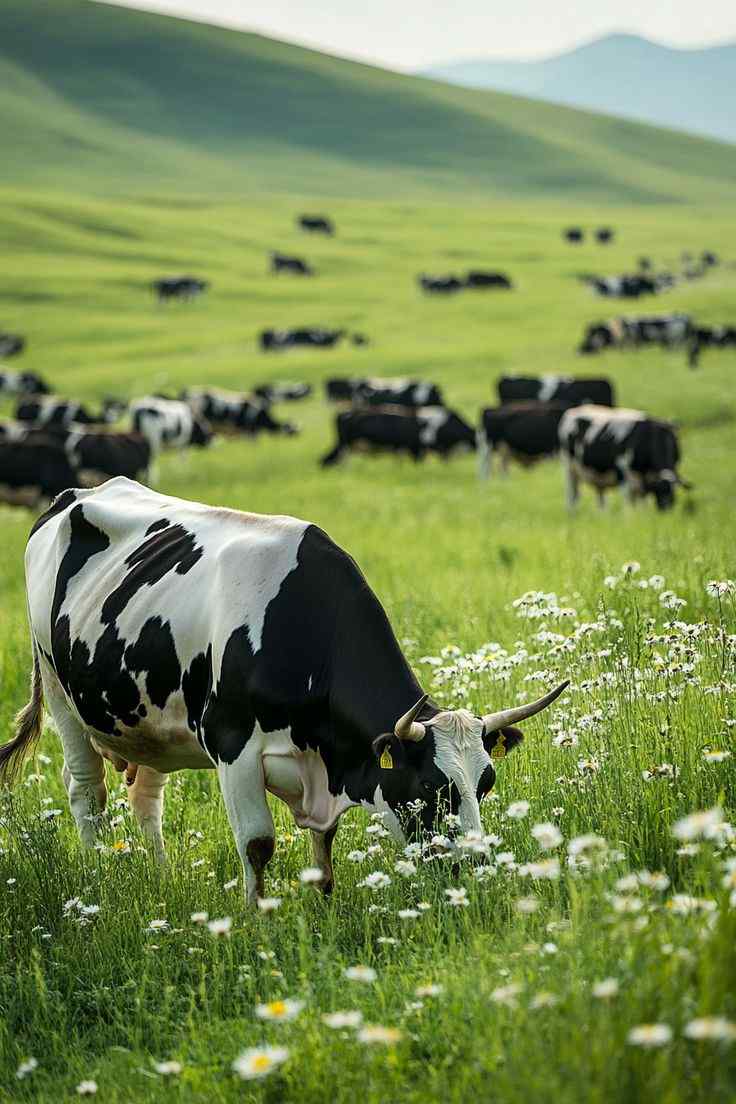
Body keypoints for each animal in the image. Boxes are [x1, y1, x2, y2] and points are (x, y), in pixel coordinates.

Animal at [0, 476, 568, 902]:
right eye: (431, 786)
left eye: (485, 783)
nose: (477, 866)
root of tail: (74, 494)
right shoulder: (231, 747)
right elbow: (257, 846)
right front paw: (259, 922)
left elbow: (323, 849)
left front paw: (323, 909)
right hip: (60, 693)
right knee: (86, 793)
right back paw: (97, 879)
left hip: (148, 718)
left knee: (146, 800)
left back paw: (161, 878)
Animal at [558, 405, 690, 511]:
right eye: (660, 490)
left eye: (674, 490)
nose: (666, 510)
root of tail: (573, 411)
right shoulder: (622, 471)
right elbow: (628, 500)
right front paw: (629, 519)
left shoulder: (646, 479)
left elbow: (643, 501)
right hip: (569, 469)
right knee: (572, 495)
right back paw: (572, 514)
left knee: (600, 498)